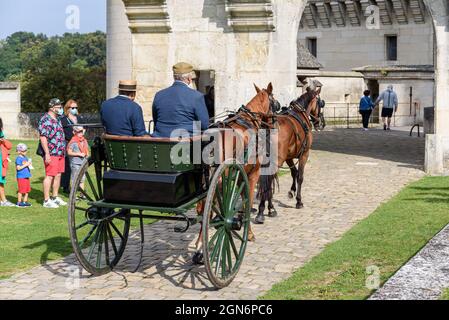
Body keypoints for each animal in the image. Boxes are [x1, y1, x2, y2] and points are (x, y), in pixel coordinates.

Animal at [192, 82, 276, 262]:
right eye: (275, 103)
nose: (274, 124)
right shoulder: (251, 175)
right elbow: (247, 202)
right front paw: (248, 233)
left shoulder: (237, 176)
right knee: (207, 208)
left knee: (202, 208)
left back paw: (199, 246)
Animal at [254, 86, 320, 224]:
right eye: (320, 103)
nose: (319, 122)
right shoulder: (304, 154)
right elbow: (300, 176)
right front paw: (299, 201)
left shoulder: (289, 157)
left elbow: (294, 172)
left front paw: (291, 191)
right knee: (270, 179)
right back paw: (265, 210)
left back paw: (266, 209)